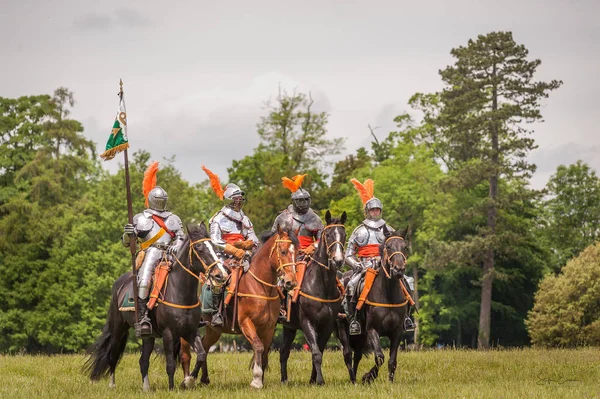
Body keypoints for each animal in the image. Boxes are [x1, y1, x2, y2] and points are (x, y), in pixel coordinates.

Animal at [85, 223, 223, 392]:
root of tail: (119, 284)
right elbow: (170, 364)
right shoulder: (168, 333)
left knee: (143, 360)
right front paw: (172, 388)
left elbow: (202, 354)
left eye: (213, 247)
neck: (179, 291)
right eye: (199, 247)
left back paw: (146, 388)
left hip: (148, 336)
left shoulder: (191, 331)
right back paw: (112, 384)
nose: (219, 275)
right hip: (118, 328)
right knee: (113, 354)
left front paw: (188, 380)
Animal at [180, 227, 298, 390]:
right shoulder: (246, 323)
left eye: (296, 252)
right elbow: (258, 347)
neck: (259, 287)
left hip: (214, 330)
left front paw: (261, 379)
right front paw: (256, 380)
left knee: (204, 346)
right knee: (186, 353)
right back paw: (187, 379)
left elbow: (264, 352)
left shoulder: (268, 328)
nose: (291, 282)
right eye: (283, 251)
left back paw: (203, 378)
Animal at [280, 211, 346, 386]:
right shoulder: (307, 322)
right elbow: (316, 352)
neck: (322, 285)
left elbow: (319, 351)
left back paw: (284, 380)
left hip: (289, 327)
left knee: (283, 351)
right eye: (328, 235)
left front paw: (313, 379)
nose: (338, 260)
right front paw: (320, 381)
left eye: (343, 235)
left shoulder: (327, 324)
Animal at [336, 225, 410, 384]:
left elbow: (392, 361)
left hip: (361, 335)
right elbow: (380, 357)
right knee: (347, 354)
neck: (388, 295)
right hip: (343, 327)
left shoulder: (397, 332)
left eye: (404, 247)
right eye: (388, 246)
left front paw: (390, 382)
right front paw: (368, 376)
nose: (398, 270)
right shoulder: (372, 330)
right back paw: (353, 380)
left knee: (357, 355)